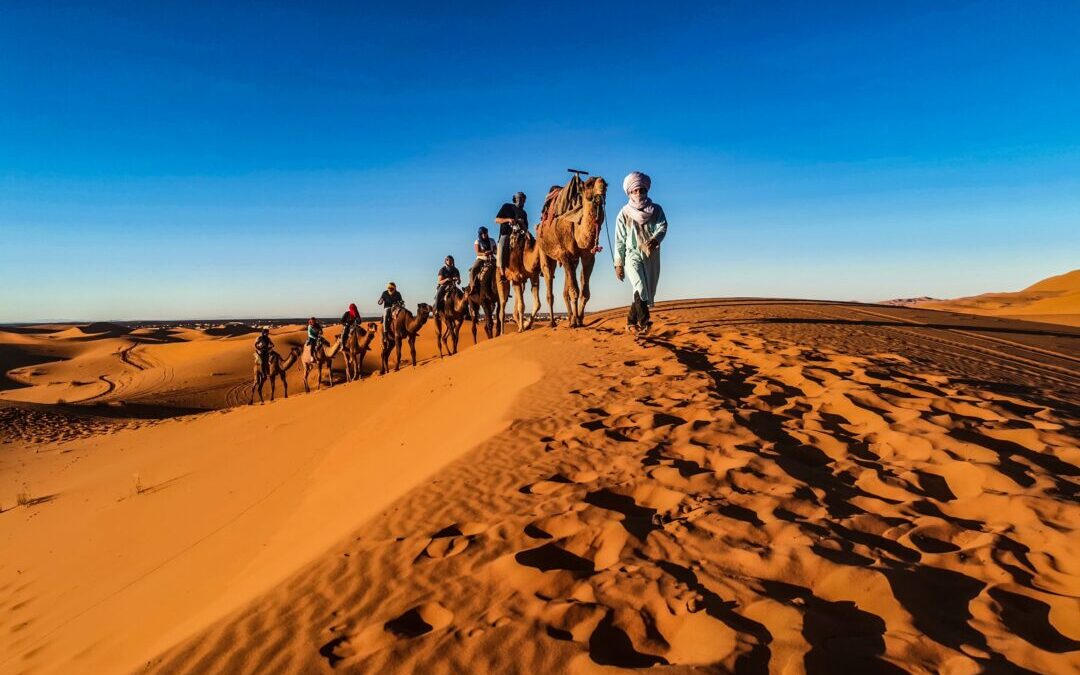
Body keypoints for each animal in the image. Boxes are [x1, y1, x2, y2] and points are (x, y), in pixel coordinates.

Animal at [537, 176, 609, 326]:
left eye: (606, 184)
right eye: (589, 184)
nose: (602, 185)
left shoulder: (588, 256)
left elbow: (584, 291)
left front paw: (579, 319)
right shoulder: (564, 254)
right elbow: (574, 290)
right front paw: (576, 321)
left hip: (572, 260)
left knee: (566, 286)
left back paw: (570, 317)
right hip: (544, 250)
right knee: (549, 279)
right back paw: (553, 322)